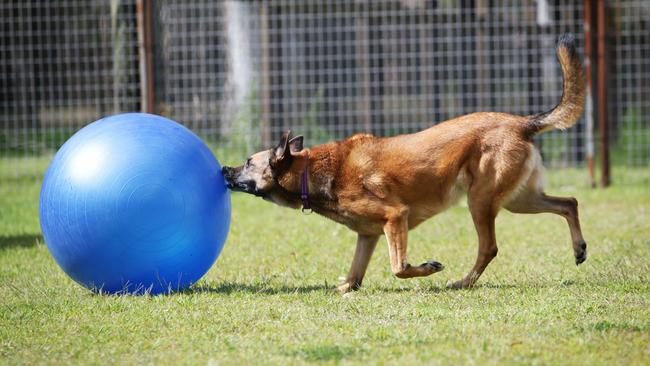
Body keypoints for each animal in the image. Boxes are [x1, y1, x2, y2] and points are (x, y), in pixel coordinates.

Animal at [220, 33, 584, 294]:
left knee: (489, 247)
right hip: (517, 199)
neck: (311, 171)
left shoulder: (395, 217)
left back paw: (463, 282)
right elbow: (353, 277)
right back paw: (579, 249)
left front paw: (427, 268)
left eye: (248, 162)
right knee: (569, 202)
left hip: (480, 200)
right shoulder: (367, 236)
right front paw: (342, 288)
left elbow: (398, 268)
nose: (223, 169)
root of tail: (522, 123)